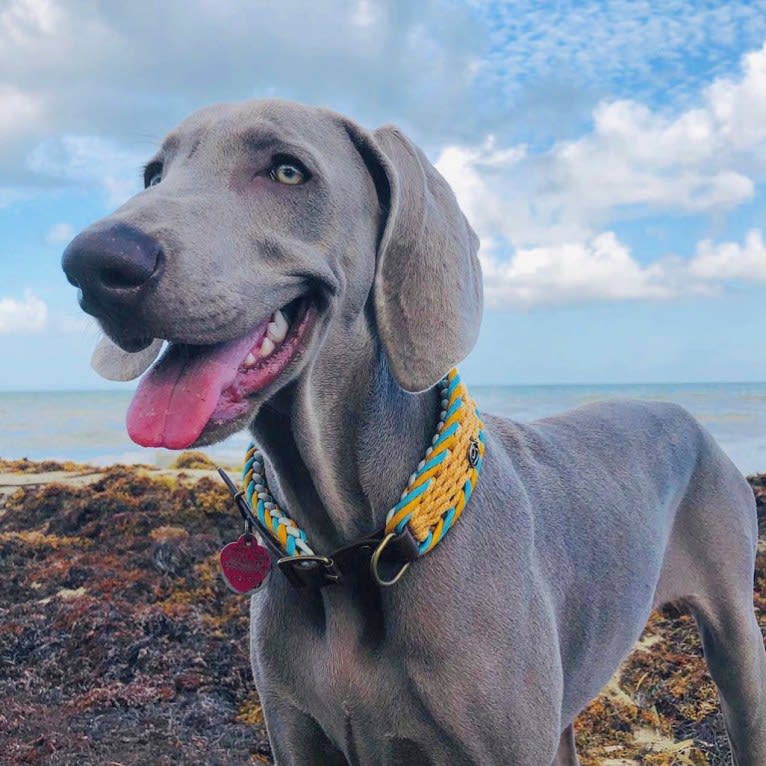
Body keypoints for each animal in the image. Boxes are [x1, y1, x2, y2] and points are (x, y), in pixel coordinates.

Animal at [63, 99, 764, 764]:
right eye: (154, 175)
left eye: (287, 170)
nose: (93, 263)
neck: (354, 550)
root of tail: (686, 415)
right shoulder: (297, 737)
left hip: (736, 636)